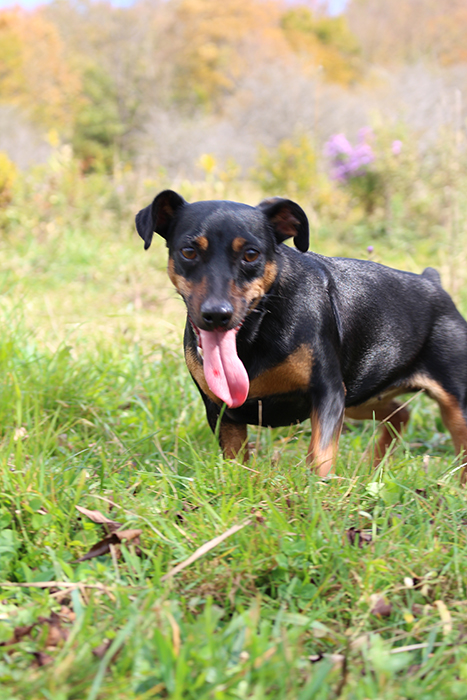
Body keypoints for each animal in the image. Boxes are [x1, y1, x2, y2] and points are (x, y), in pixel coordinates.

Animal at [134, 189, 467, 482]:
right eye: (188, 251)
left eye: (251, 254)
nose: (217, 314)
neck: (256, 330)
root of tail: (432, 282)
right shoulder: (221, 410)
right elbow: (236, 462)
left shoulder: (328, 394)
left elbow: (320, 456)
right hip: (359, 394)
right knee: (401, 413)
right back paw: (373, 468)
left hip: (451, 404)